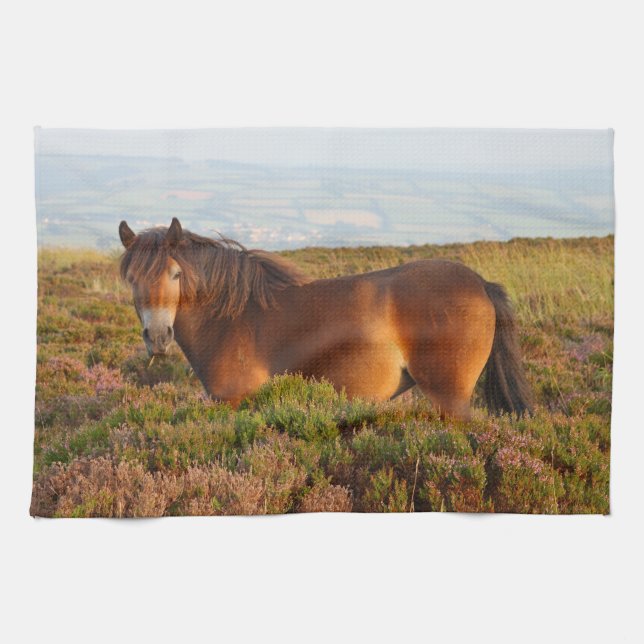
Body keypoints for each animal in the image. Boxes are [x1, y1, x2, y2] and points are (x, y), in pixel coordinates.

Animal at [119, 218, 533, 420]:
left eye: (176, 274)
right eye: (132, 278)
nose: (158, 336)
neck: (231, 319)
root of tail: (481, 284)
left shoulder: (235, 404)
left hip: (452, 399)